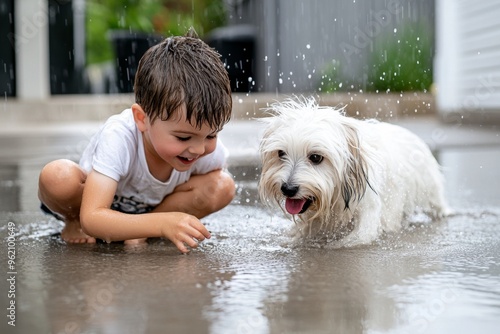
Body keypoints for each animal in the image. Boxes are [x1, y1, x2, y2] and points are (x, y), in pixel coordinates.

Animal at [260, 96, 448, 248]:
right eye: (281, 153)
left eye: (315, 157)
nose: (288, 189)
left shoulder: (367, 215)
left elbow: (356, 238)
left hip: (430, 190)